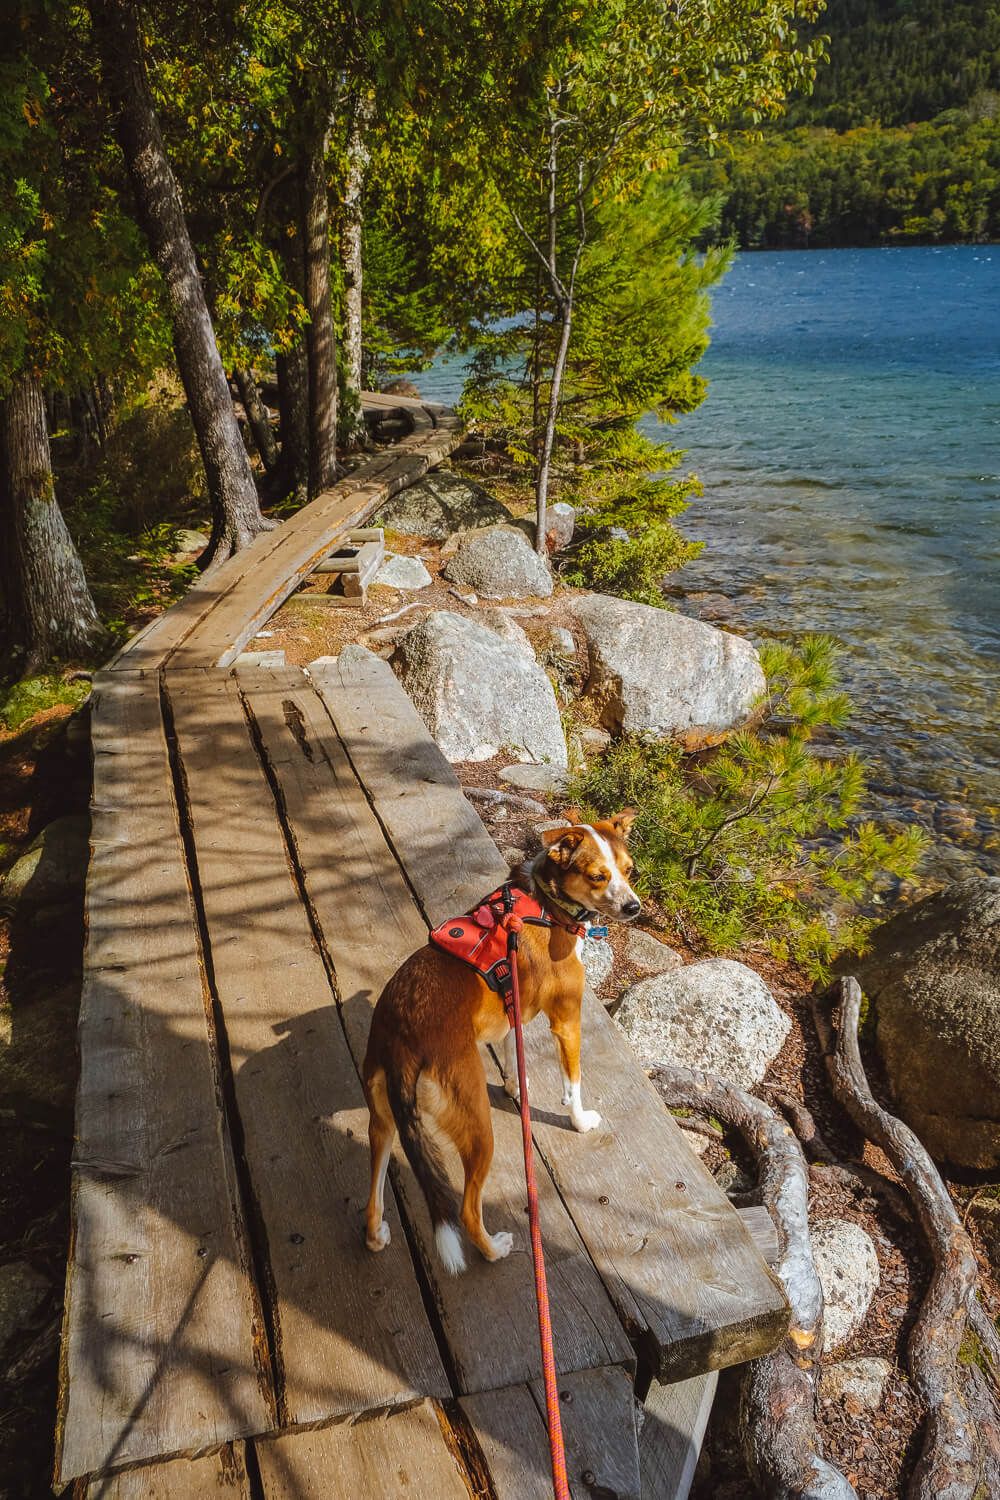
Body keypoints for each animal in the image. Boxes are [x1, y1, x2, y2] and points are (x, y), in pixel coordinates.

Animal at [365, 816, 641, 1272]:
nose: (634, 907)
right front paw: (580, 1121)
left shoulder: (515, 1010)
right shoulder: (568, 1022)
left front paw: (516, 1087)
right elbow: (574, 1083)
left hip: (383, 1122)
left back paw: (376, 1234)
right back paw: (494, 1249)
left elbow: (515, 1052)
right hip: (478, 1128)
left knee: (372, 1196)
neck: (546, 906)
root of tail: (403, 1038)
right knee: (466, 1211)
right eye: (597, 876)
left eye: (629, 870)